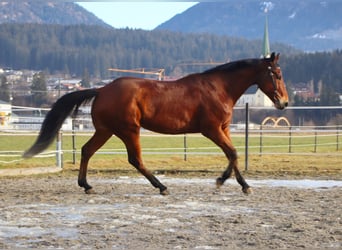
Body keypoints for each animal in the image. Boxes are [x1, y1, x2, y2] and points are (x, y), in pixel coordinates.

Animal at [22, 51, 288, 194]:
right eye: (277, 74)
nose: (283, 102)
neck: (218, 88)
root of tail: (102, 90)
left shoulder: (223, 129)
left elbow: (232, 155)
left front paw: (239, 184)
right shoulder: (211, 130)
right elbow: (232, 153)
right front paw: (226, 182)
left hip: (106, 130)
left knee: (87, 150)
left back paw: (86, 185)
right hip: (129, 130)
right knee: (135, 159)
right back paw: (161, 186)